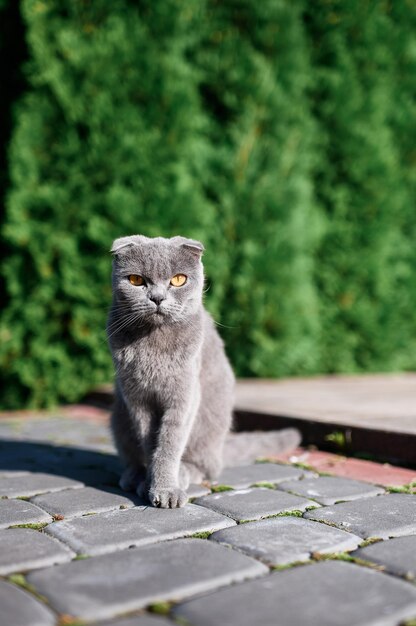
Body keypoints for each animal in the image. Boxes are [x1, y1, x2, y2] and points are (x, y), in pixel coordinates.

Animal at [107, 234, 300, 508]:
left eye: (178, 280)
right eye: (136, 280)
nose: (157, 298)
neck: (154, 343)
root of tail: (220, 450)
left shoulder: (184, 394)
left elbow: (169, 443)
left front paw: (166, 489)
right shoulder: (136, 398)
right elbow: (148, 442)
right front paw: (148, 483)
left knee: (205, 466)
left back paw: (183, 473)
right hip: (119, 417)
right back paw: (133, 476)